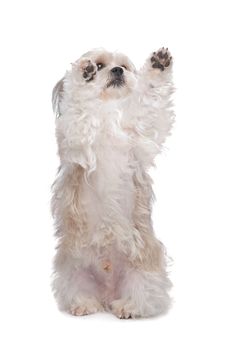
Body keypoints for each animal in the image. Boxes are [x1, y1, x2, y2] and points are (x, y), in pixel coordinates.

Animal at [51, 47, 175, 318]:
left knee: (144, 298)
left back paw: (128, 306)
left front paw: (158, 65)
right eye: (99, 65)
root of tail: (108, 295)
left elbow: (149, 97)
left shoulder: (140, 133)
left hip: (143, 270)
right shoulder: (78, 138)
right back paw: (84, 304)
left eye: (124, 66)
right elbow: (80, 104)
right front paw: (83, 75)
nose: (117, 71)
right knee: (79, 292)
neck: (108, 115)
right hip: (73, 274)